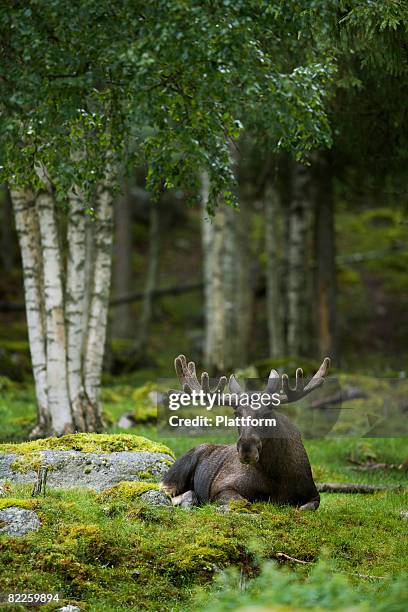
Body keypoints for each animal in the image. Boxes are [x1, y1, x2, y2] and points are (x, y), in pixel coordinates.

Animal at [161, 354, 330, 512]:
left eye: (267, 413)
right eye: (236, 414)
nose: (246, 449)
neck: (278, 477)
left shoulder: (314, 494)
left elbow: (306, 507)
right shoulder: (222, 486)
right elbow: (244, 502)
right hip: (175, 474)